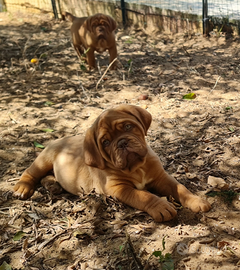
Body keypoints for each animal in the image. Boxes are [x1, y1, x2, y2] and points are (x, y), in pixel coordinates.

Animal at [14, 105, 211, 221]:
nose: (122, 143)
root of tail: (61, 138)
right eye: (106, 142)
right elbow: (144, 196)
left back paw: (53, 185)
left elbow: (180, 188)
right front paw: (161, 206)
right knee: (30, 173)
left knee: (47, 176)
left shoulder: (161, 178)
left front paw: (196, 200)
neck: (137, 167)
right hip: (43, 159)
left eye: (128, 127)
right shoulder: (118, 189)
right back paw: (22, 188)